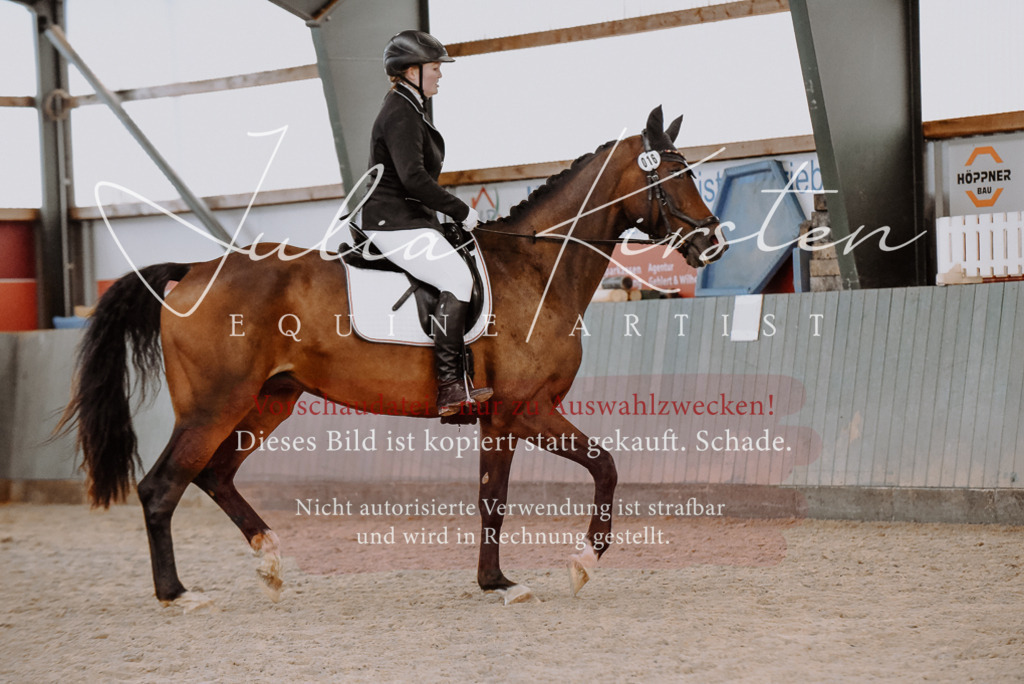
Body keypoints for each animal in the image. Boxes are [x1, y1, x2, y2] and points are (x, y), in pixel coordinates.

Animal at [59, 106, 725, 609]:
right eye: (673, 175)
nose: (713, 242)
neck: (537, 268)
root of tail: (193, 270)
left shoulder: (501, 419)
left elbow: (498, 499)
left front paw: (498, 581)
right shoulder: (522, 408)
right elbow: (600, 468)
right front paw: (577, 564)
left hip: (269, 400)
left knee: (214, 475)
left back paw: (270, 562)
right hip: (214, 405)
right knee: (162, 486)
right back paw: (178, 594)